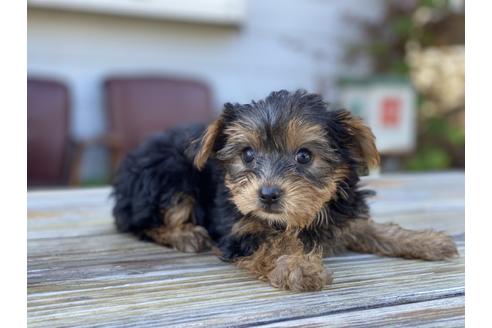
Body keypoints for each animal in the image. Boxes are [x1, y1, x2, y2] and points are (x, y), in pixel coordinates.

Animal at [111, 89, 458, 292]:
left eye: (304, 156)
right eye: (247, 154)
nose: (267, 194)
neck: (303, 216)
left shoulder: (344, 216)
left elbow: (373, 228)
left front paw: (424, 241)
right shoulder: (240, 231)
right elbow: (272, 243)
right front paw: (297, 266)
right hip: (166, 176)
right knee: (143, 222)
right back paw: (185, 234)